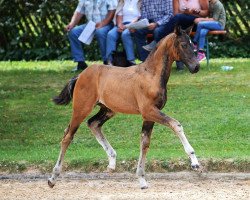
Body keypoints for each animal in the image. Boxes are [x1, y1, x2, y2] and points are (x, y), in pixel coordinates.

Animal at [48, 26, 200, 189]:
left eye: (192, 43)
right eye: (183, 45)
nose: (196, 67)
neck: (151, 75)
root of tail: (80, 75)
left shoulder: (149, 115)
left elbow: (145, 143)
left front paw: (142, 180)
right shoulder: (149, 111)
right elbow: (175, 124)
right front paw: (195, 162)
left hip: (108, 110)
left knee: (93, 123)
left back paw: (112, 162)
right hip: (81, 109)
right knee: (67, 136)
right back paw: (52, 178)